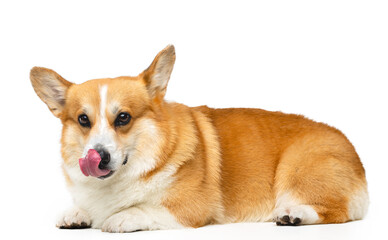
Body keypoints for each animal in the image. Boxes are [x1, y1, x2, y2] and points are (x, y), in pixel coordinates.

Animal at [30, 45, 366, 232]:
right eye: (83, 120)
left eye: (123, 118)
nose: (99, 156)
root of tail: (356, 154)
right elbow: (82, 208)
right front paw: (76, 214)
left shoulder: (192, 208)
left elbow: (143, 209)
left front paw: (120, 217)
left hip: (296, 169)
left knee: (337, 212)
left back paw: (294, 215)